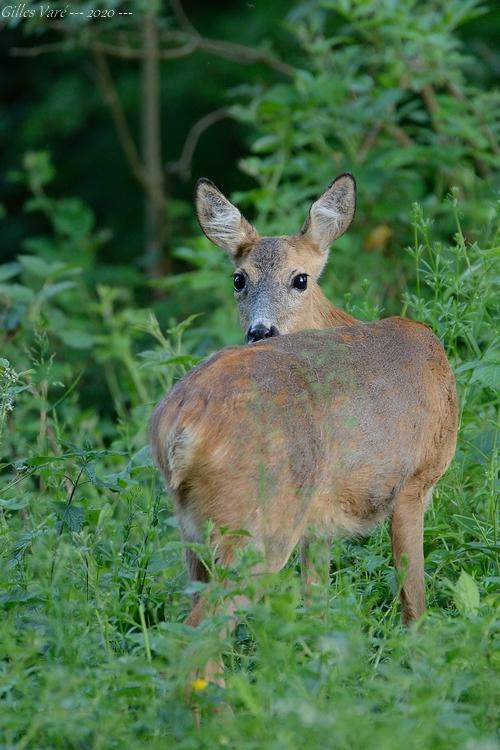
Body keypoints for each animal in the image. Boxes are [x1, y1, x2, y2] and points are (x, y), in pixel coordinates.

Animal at [150, 176, 458, 688]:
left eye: (301, 278)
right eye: (239, 278)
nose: (260, 331)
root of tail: (178, 427)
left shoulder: (320, 521)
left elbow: (317, 604)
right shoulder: (414, 482)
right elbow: (413, 596)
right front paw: (422, 668)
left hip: (193, 532)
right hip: (257, 524)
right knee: (194, 641)